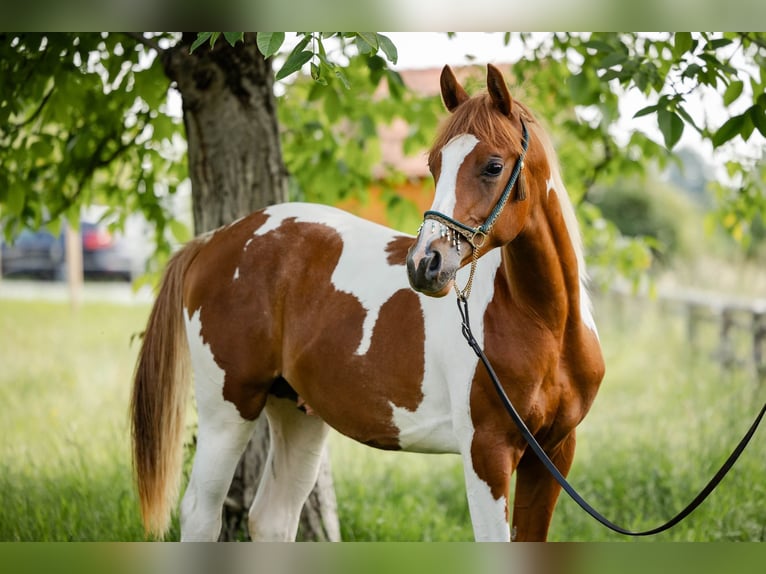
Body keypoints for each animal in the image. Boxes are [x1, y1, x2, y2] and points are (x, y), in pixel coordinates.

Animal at [130, 64, 608, 544]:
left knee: (272, 518)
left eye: (493, 166)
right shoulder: (486, 452)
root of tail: (213, 241)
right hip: (228, 409)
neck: (543, 324)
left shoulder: (553, 454)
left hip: (296, 411)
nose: (425, 264)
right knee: (200, 513)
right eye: (434, 165)